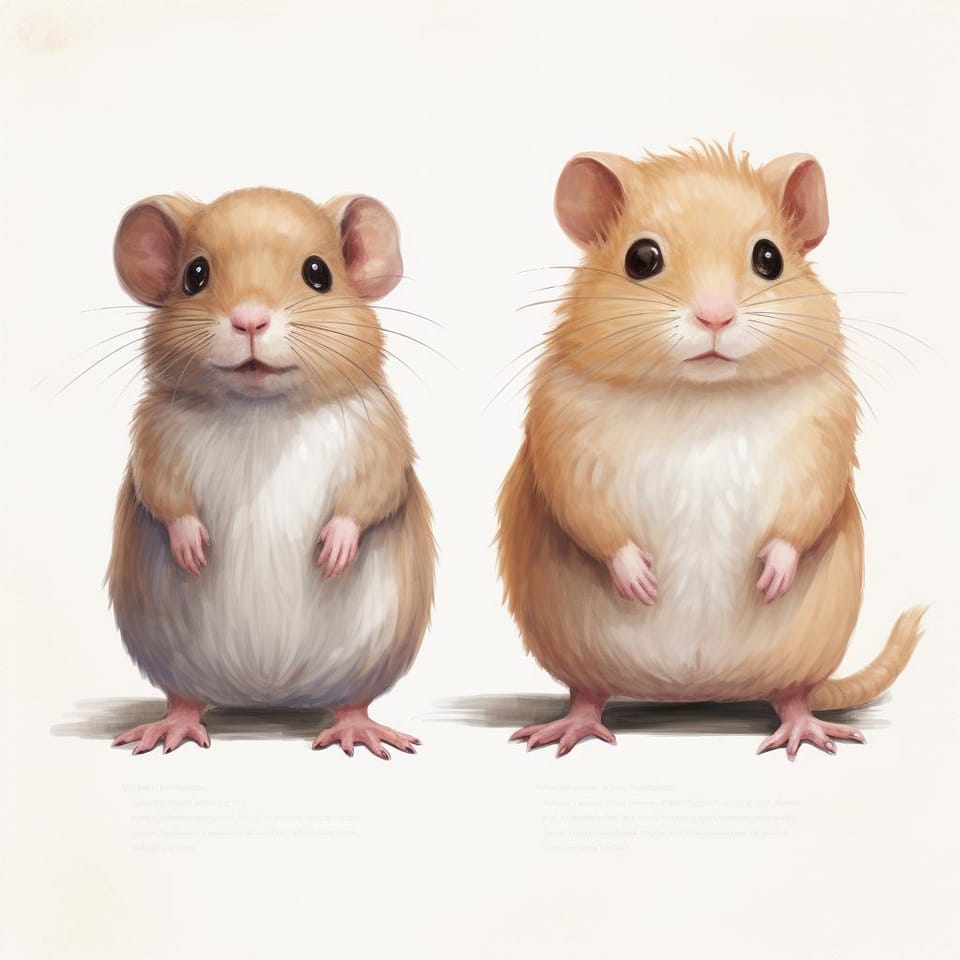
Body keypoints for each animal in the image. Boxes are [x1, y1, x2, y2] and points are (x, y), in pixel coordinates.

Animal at [107, 187, 435, 757]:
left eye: (318, 273)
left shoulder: (381, 438)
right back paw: (166, 733)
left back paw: (360, 735)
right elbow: (166, 497)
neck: (262, 410)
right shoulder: (153, 439)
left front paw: (331, 555)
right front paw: (195, 552)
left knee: (352, 703)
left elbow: (368, 497)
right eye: (195, 275)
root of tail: (266, 696)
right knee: (184, 700)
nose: (250, 320)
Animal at [497, 143, 924, 759]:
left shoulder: (825, 439)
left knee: (793, 695)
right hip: (576, 656)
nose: (715, 317)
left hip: (802, 659)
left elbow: (803, 515)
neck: (703, 396)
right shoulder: (563, 440)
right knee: (587, 694)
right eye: (642, 258)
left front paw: (769, 579)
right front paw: (643, 584)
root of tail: (699, 691)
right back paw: (564, 731)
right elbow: (591, 517)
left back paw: (805, 734)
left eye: (769, 258)